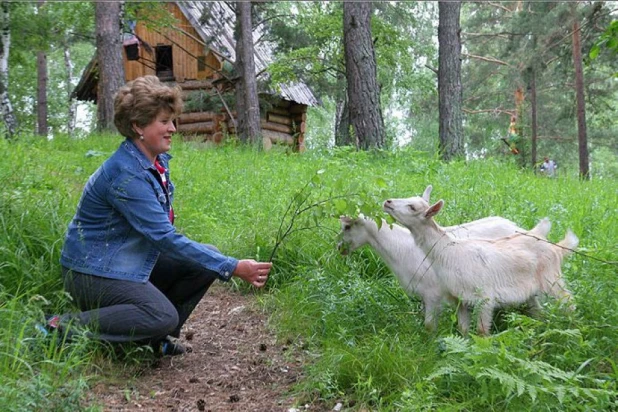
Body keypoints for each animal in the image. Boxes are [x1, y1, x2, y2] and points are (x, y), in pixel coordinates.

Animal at [336, 186, 524, 332]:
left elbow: (429, 325)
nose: (339, 248)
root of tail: (517, 227)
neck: (401, 248)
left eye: (347, 226)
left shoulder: (433, 292)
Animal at [382, 195, 576, 336]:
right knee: (537, 312)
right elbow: (463, 330)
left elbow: (482, 332)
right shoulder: (460, 299)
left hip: (552, 279)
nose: (387, 202)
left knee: (568, 302)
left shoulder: (485, 298)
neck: (449, 253)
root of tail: (555, 247)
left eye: (412, 207)